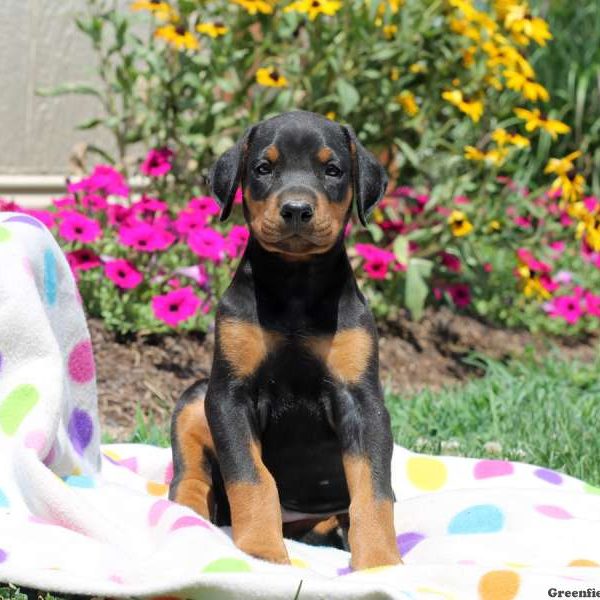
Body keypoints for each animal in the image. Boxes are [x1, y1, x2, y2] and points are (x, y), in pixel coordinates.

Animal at [170, 110, 404, 568]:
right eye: (264, 168)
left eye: (333, 170)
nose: (296, 210)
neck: (296, 283)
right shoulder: (229, 395)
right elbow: (252, 477)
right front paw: (262, 554)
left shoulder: (362, 401)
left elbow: (374, 490)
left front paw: (381, 564)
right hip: (194, 398)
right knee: (188, 478)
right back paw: (183, 522)